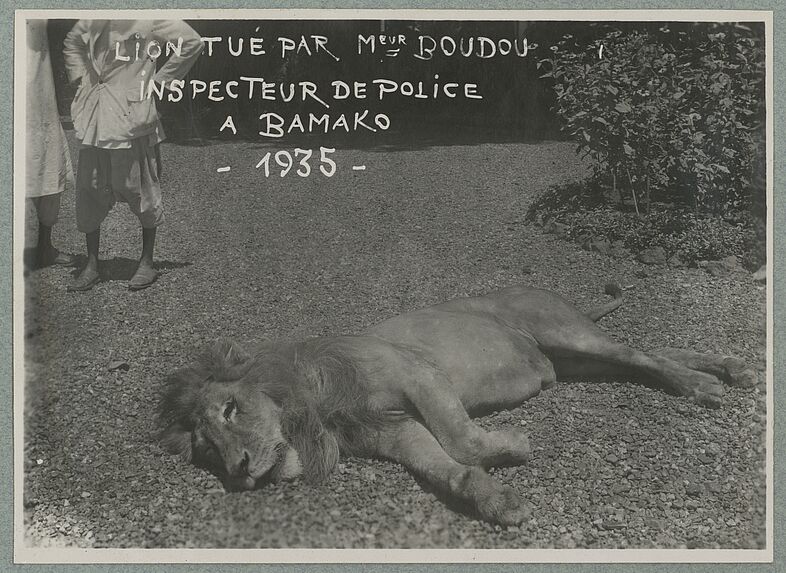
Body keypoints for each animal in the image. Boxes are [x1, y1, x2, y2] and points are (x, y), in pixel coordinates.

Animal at [158, 284, 752, 524]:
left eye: (230, 410)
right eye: (207, 451)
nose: (238, 471)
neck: (314, 411)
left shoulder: (421, 375)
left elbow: (462, 440)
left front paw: (513, 445)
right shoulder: (394, 431)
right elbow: (447, 469)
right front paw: (496, 502)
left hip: (567, 334)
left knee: (638, 353)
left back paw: (706, 386)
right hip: (577, 362)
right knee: (646, 355)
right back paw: (727, 367)